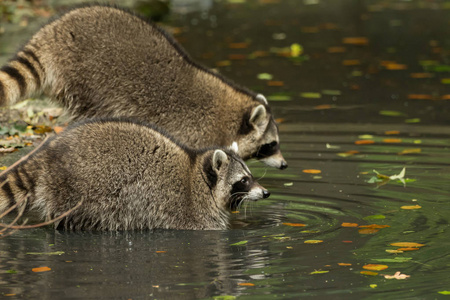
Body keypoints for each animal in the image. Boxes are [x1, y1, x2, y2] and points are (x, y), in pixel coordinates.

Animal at [0, 4, 288, 170]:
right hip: (86, 76)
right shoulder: (195, 131)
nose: (285, 165)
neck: (229, 117)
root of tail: (50, 33)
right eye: (270, 145)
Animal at [0, 118, 268, 231]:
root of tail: (50, 150)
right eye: (243, 181)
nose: (266, 192)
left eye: (249, 176)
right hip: (77, 190)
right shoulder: (193, 214)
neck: (199, 174)